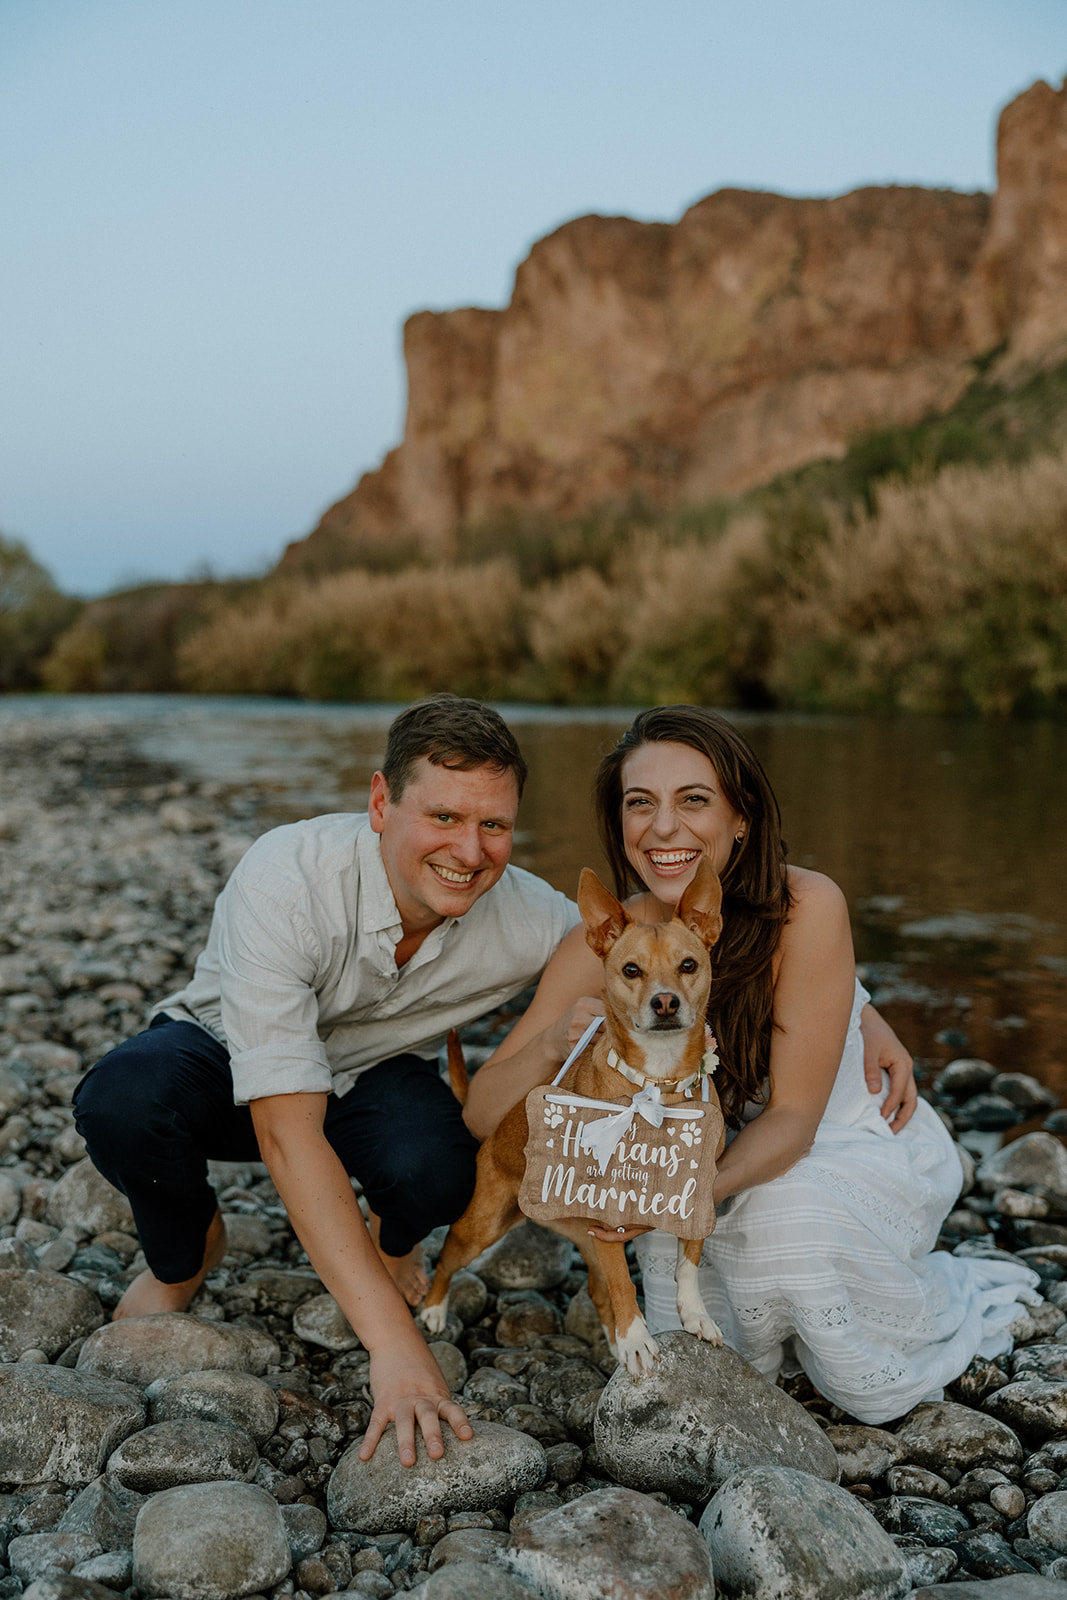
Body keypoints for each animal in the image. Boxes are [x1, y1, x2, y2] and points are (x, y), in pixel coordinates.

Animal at [422, 864, 729, 1376]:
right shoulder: (608, 1219)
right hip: (482, 1226)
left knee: (597, 1291)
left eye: (689, 965)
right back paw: (432, 1309)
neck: (656, 1086)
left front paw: (695, 1315)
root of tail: (495, 1131)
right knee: (447, 1254)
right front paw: (638, 1340)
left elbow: (688, 1261)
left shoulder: (694, 1193)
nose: (665, 1002)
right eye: (631, 970)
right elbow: (625, 1285)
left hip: (584, 1235)